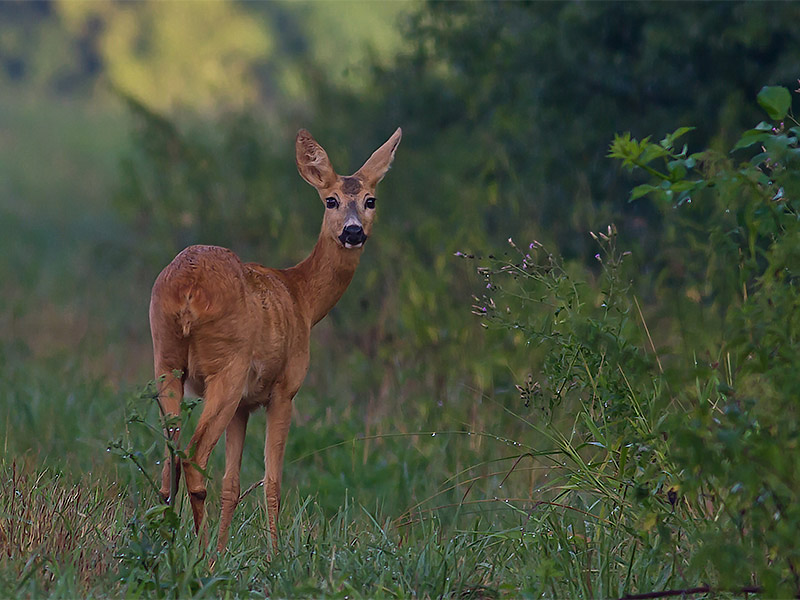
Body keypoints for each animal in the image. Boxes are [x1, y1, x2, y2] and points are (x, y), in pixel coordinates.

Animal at [148, 127, 404, 552]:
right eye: (331, 200)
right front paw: (274, 555)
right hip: (227, 367)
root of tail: (188, 289)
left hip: (166, 360)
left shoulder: (244, 406)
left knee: (169, 461)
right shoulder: (285, 389)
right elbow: (273, 482)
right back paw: (198, 551)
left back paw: (167, 542)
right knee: (193, 456)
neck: (301, 297)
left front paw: (225, 552)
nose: (353, 231)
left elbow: (232, 484)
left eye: (371, 199)